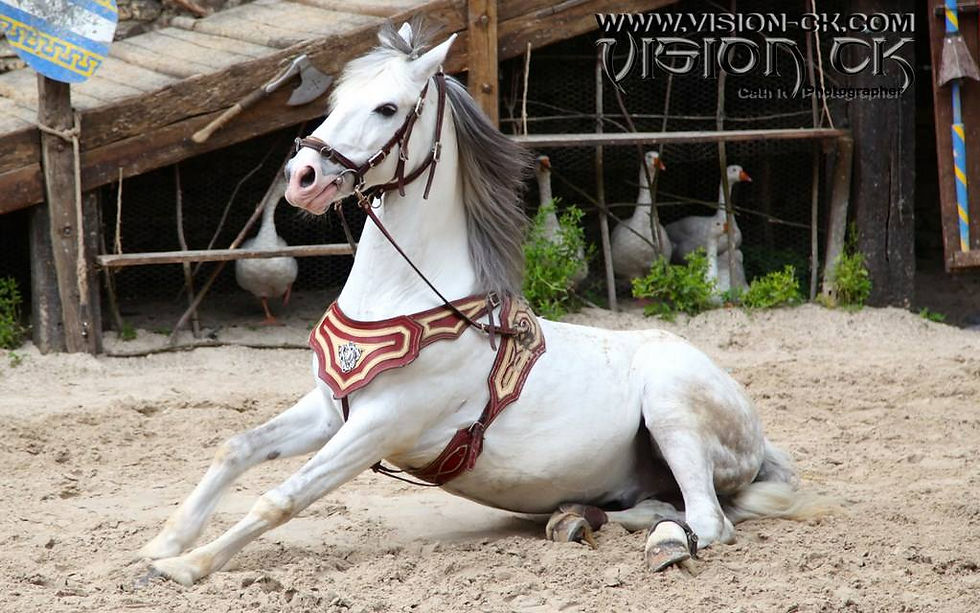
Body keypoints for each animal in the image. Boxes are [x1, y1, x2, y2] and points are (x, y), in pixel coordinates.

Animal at [140, 21, 828, 586]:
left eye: (387, 107)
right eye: (335, 102)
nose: (303, 178)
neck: (411, 299)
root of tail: (756, 434)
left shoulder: (380, 424)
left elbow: (281, 497)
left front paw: (188, 565)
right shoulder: (331, 409)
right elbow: (238, 447)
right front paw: (161, 544)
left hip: (672, 409)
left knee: (708, 520)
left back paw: (658, 544)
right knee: (663, 506)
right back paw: (574, 519)